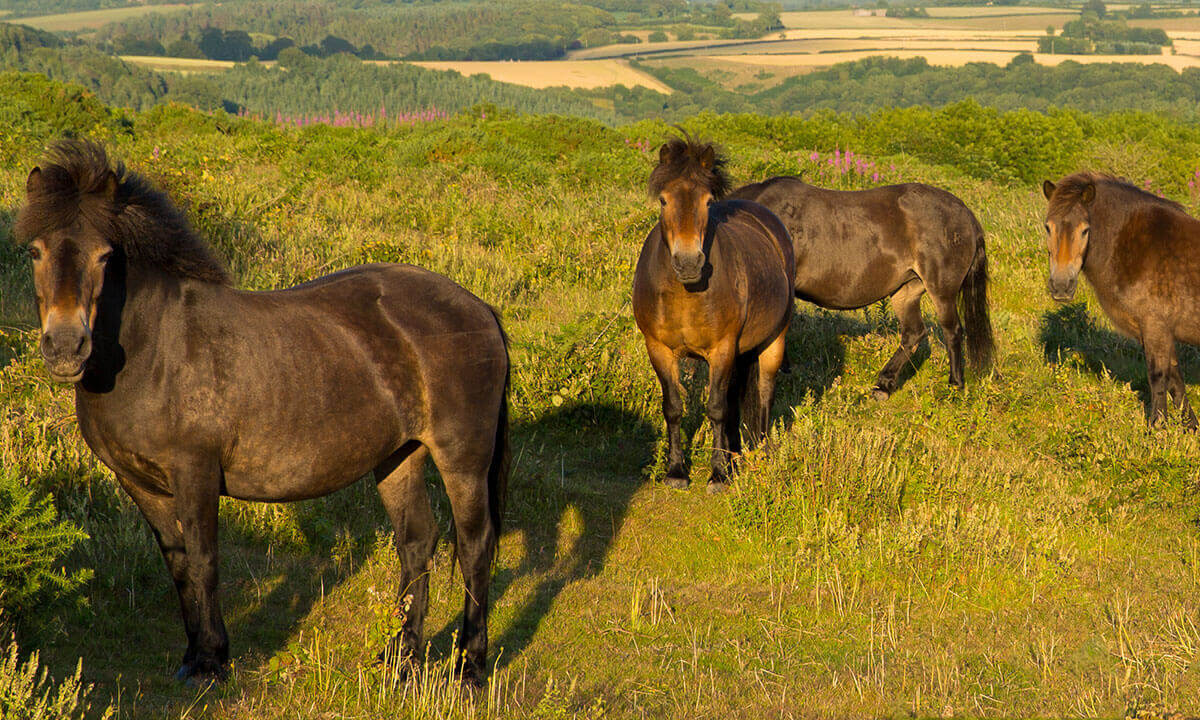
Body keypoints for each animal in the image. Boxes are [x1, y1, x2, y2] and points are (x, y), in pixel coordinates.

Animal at [15, 139, 510, 687]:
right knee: (417, 542)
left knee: (475, 547)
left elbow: (205, 560)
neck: (154, 347)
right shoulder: (140, 483)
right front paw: (192, 655)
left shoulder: (196, 473)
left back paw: (470, 665)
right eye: (35, 251)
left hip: (462, 459)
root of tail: (479, 308)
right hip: (399, 456)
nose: (65, 348)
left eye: (105, 256)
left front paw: (212, 661)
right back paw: (400, 657)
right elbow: (179, 566)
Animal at [632, 137, 795, 494]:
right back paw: (736, 455)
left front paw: (718, 474)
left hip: (773, 341)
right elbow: (674, 408)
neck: (684, 293)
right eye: (663, 200)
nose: (688, 262)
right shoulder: (659, 349)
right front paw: (677, 471)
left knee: (764, 392)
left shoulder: (722, 349)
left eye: (708, 202)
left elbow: (717, 408)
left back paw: (760, 454)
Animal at [730, 176, 994, 399]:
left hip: (941, 290)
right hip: (906, 291)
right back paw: (884, 386)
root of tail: (966, 214)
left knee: (952, 331)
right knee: (914, 333)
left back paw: (955, 385)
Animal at [1042, 172, 1200, 429]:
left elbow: (1158, 377)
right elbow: (1175, 380)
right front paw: (1190, 427)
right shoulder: (1161, 331)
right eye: (1048, 227)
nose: (1061, 286)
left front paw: (1157, 428)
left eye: (1085, 230)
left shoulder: (1155, 326)